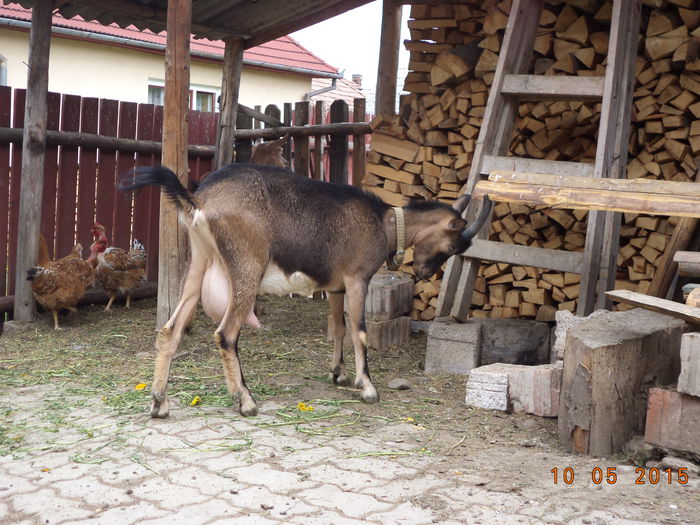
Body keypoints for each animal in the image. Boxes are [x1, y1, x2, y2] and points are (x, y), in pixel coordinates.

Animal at [121, 164, 492, 418]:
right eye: (452, 246)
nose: (423, 272)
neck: (384, 222)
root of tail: (198, 198)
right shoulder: (357, 278)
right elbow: (359, 330)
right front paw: (367, 387)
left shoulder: (337, 287)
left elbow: (339, 327)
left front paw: (338, 373)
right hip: (246, 265)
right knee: (225, 334)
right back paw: (246, 401)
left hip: (199, 261)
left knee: (171, 329)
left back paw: (160, 403)